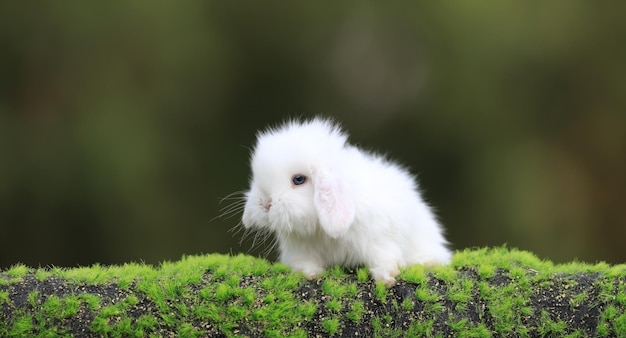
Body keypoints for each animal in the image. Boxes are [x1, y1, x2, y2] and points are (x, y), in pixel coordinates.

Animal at [239, 117, 448, 284]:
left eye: (298, 179)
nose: (266, 204)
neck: (320, 229)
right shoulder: (300, 250)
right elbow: (304, 262)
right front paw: (309, 274)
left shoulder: (377, 239)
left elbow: (383, 256)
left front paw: (387, 278)